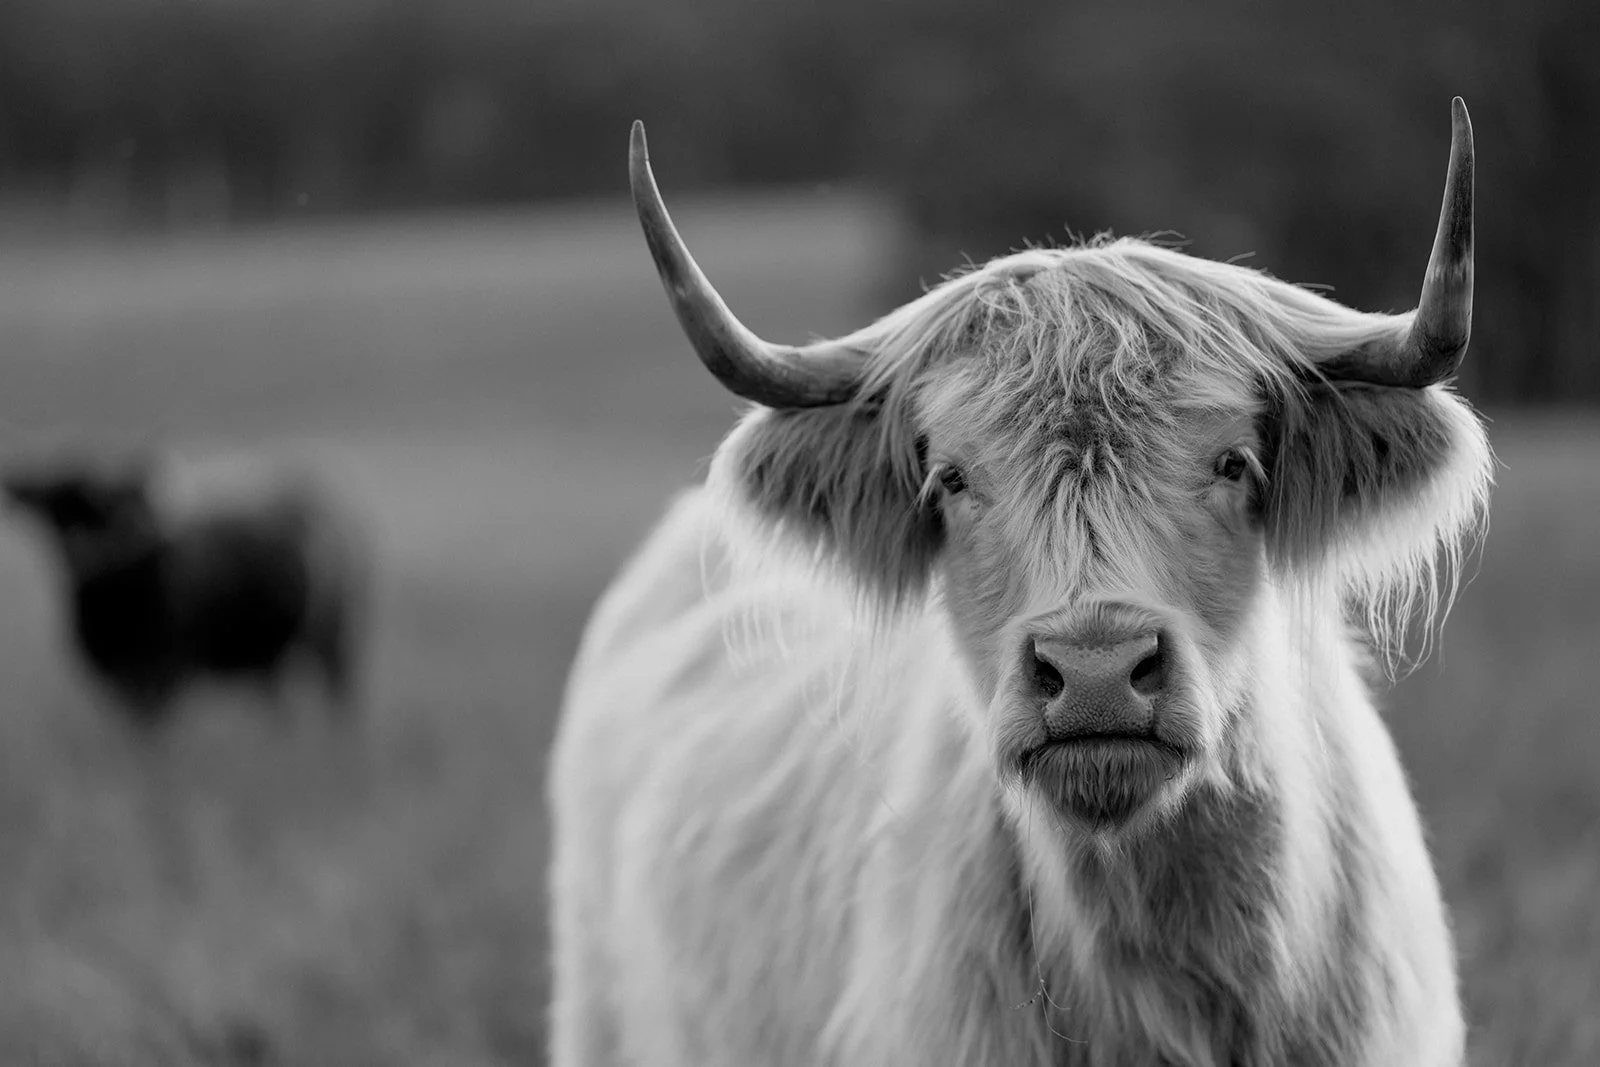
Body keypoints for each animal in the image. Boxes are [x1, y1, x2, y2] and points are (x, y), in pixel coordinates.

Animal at [3, 452, 370, 728]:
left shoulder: (164, 674)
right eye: (54, 506)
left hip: (330, 642)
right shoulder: (120, 684)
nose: (80, 548)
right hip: (274, 658)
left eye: (106, 507)